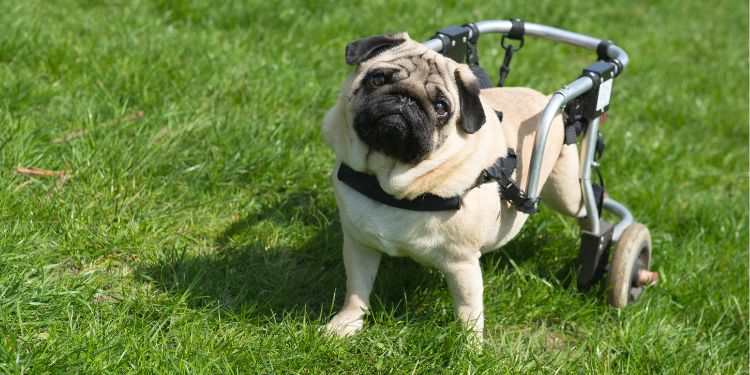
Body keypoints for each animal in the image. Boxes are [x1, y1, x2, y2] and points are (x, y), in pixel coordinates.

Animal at [324, 33, 588, 344]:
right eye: (378, 79)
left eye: (441, 108)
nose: (405, 98)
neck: (388, 181)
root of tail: (547, 99)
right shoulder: (359, 245)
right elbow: (357, 291)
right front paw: (346, 325)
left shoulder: (462, 264)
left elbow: (469, 312)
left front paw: (471, 348)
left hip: (565, 192)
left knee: (587, 207)